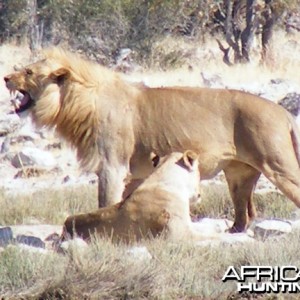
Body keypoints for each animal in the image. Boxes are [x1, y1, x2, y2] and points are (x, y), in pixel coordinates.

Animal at [4, 47, 300, 232]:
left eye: (28, 72)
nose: (6, 77)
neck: (76, 102)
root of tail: (284, 112)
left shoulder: (112, 165)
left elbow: (105, 202)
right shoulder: (135, 173)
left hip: (279, 167)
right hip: (238, 174)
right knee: (245, 215)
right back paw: (232, 232)